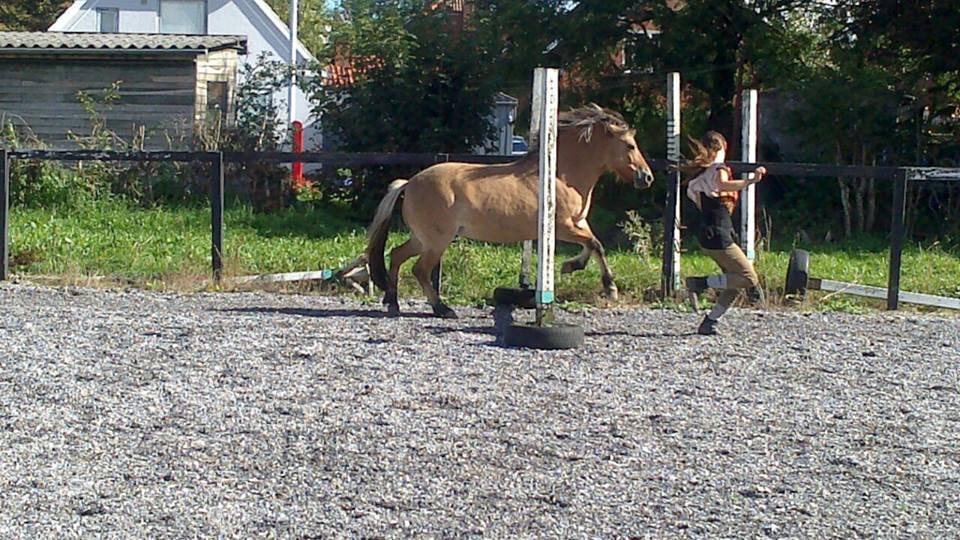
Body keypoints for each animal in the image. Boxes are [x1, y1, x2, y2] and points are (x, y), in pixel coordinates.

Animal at [364, 103, 656, 318]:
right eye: (630, 145)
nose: (647, 177)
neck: (560, 175)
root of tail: (409, 182)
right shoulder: (563, 227)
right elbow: (595, 244)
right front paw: (609, 287)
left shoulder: (578, 223)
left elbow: (594, 245)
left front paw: (571, 266)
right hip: (437, 241)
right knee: (420, 270)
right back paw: (441, 309)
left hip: (422, 238)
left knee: (396, 255)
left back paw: (392, 302)